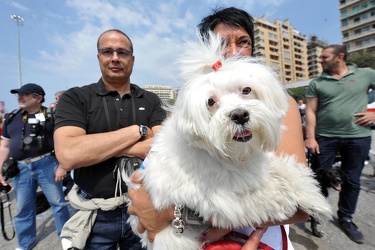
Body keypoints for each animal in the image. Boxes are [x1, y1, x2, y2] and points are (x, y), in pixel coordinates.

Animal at [128, 33, 334, 250]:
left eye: (246, 90)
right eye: (210, 102)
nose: (239, 115)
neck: (231, 155)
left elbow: (286, 169)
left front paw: (312, 195)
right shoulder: (218, 199)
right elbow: (262, 196)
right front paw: (286, 196)